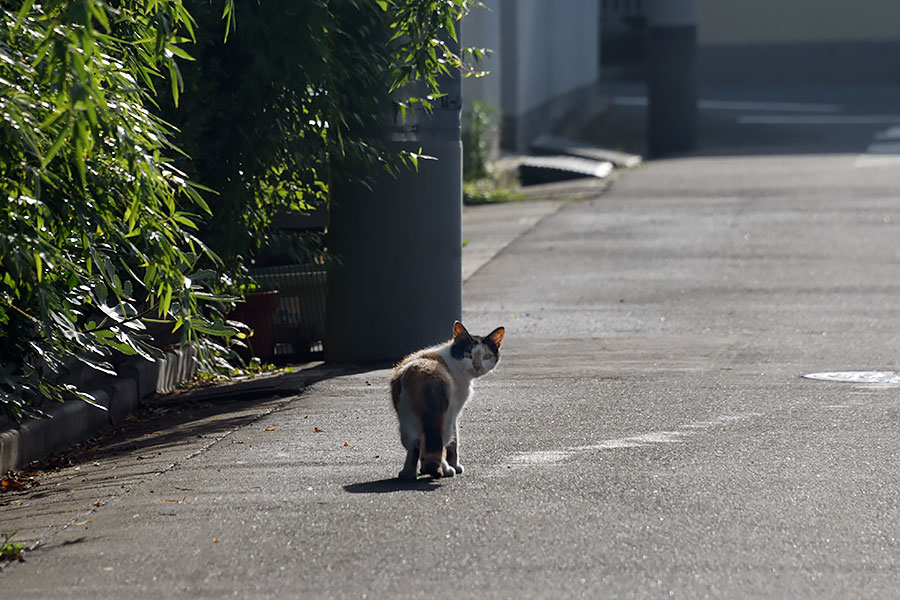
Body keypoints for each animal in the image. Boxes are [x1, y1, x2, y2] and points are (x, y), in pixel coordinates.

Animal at [388, 322, 502, 480]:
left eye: (487, 356)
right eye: (468, 354)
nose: (477, 367)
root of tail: (426, 374)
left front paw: (424, 468)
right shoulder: (455, 412)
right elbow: (454, 441)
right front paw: (455, 465)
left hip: (406, 420)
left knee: (416, 443)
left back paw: (408, 474)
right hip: (445, 418)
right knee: (440, 441)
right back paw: (447, 470)